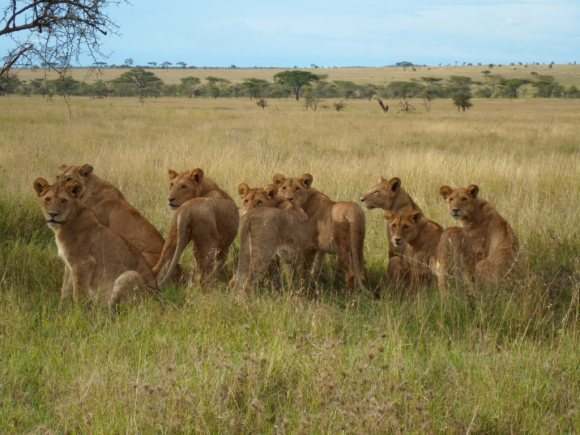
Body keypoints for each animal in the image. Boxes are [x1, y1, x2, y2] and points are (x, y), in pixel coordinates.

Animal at [33, 177, 156, 306]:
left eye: (63, 200)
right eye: (47, 199)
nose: (53, 214)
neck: (62, 227)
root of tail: (157, 300)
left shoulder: (83, 263)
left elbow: (79, 292)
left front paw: (77, 310)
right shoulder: (69, 264)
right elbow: (65, 288)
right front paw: (62, 306)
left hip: (129, 275)